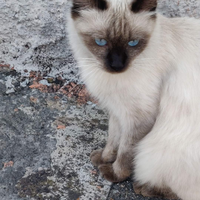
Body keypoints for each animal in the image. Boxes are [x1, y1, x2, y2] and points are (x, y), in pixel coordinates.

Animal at [67, 0, 200, 199]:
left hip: (159, 151)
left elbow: (125, 152)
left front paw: (114, 173)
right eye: (101, 42)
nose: (117, 66)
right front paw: (104, 158)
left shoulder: (139, 117)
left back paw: (144, 187)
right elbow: (113, 138)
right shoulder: (117, 110)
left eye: (133, 43)